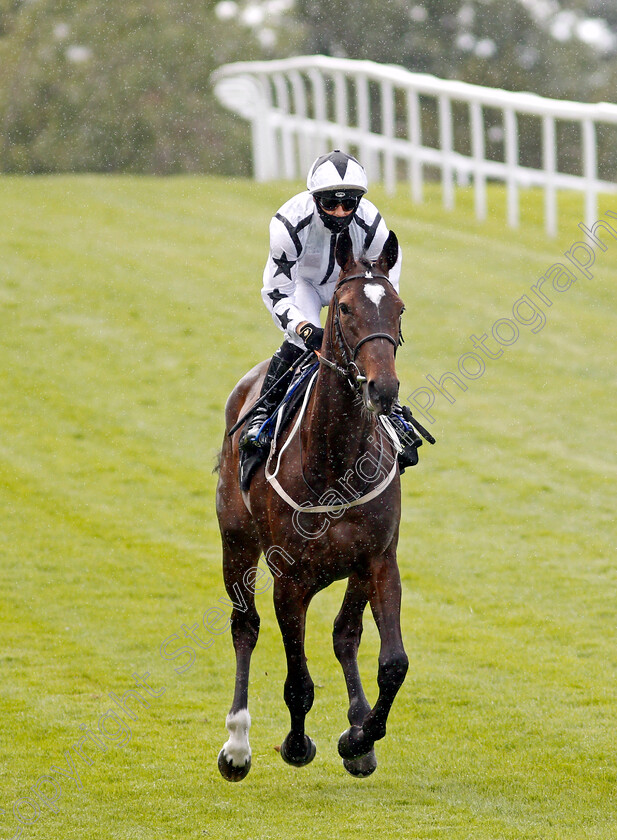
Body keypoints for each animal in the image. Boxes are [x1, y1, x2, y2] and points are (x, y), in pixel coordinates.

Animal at [214, 230, 406, 780]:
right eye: (343, 308)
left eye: (399, 309)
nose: (383, 388)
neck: (335, 462)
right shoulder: (290, 580)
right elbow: (297, 681)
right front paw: (297, 745)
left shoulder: (378, 559)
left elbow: (391, 662)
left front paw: (360, 736)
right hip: (236, 541)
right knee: (244, 627)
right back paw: (237, 744)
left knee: (345, 635)